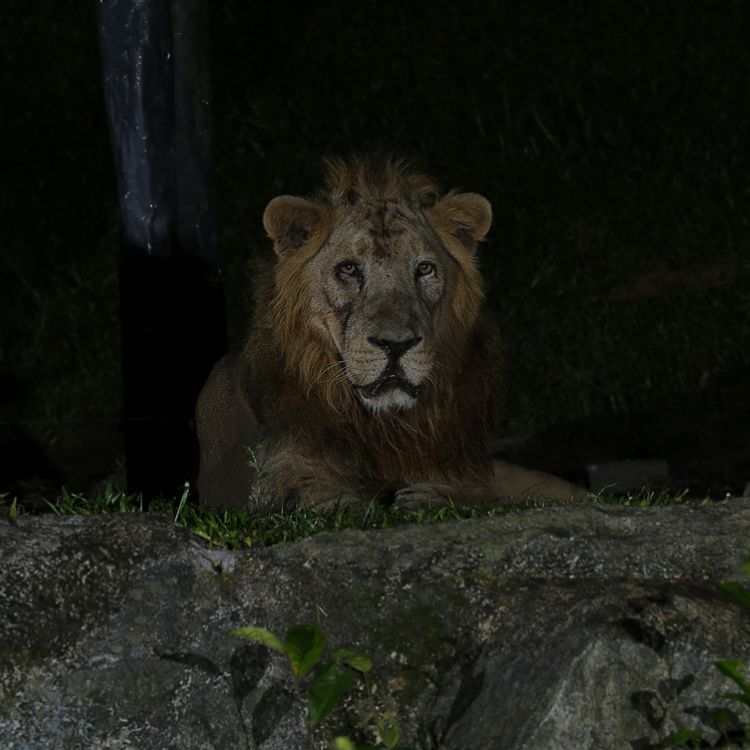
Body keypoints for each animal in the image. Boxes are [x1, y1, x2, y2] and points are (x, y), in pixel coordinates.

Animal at [196, 155, 585, 509]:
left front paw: (434, 496)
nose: (396, 345)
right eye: (348, 269)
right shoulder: (282, 473)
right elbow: (329, 502)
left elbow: (506, 494)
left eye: (424, 269)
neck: (388, 426)